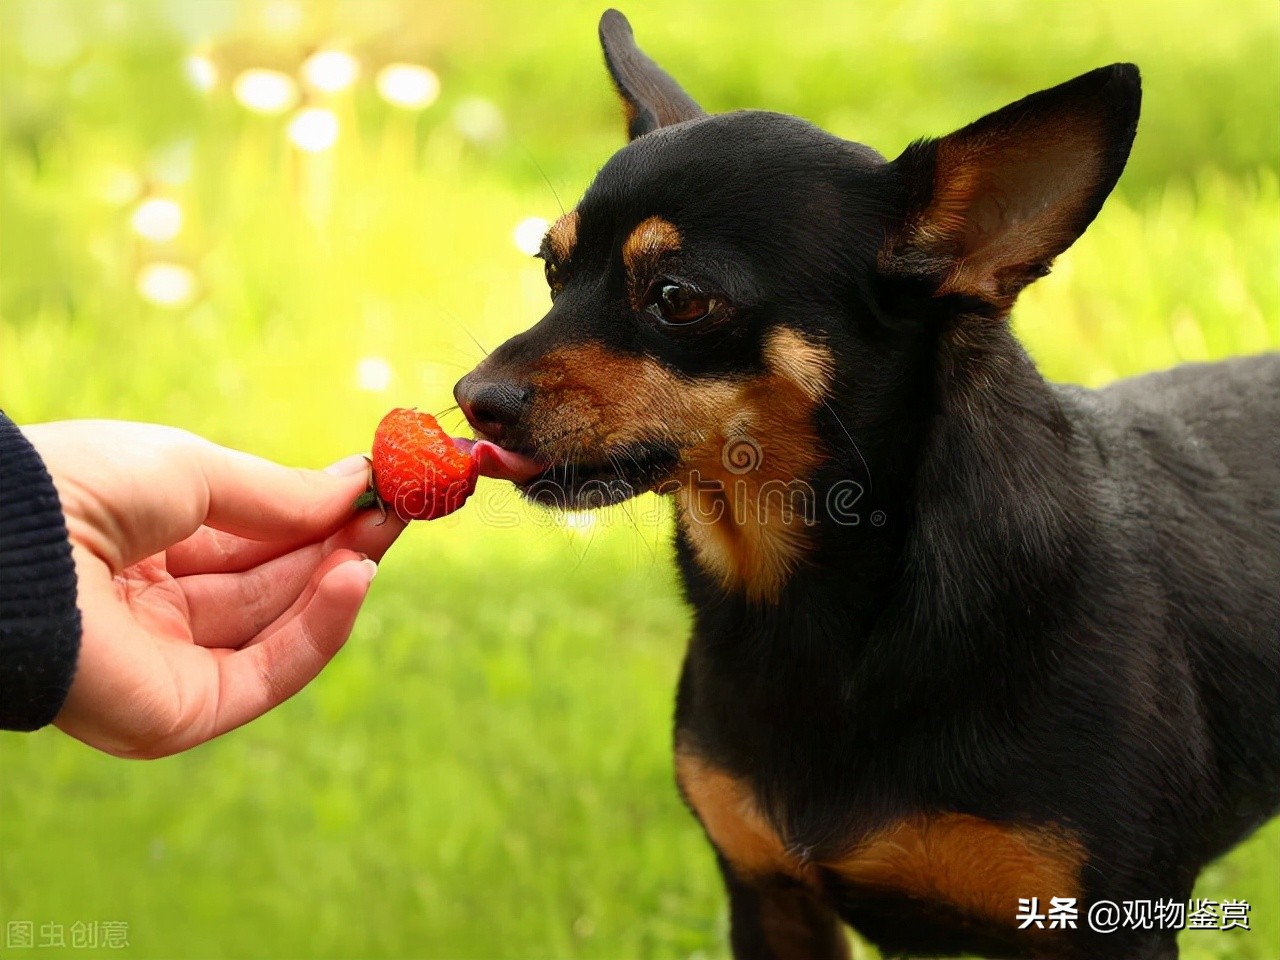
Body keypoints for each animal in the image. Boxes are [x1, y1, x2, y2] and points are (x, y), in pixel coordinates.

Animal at [458, 9, 1280, 960]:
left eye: (678, 297)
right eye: (551, 271)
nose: (473, 398)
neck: (808, 609)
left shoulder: (1111, 924)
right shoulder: (771, 900)